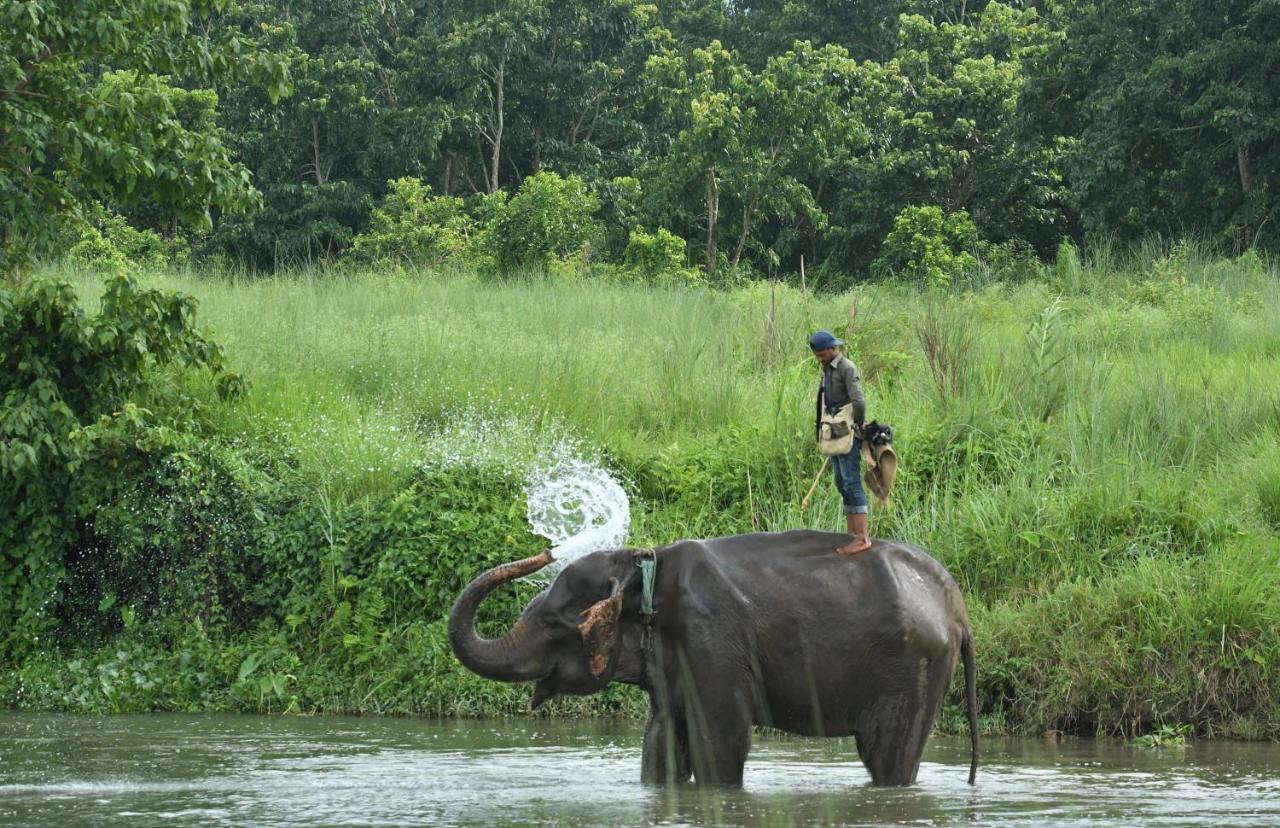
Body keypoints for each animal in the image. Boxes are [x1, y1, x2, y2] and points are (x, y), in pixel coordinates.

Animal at [450, 532, 977, 788]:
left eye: (554, 624)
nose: (546, 551)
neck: (643, 563)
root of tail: (956, 604)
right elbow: (661, 745)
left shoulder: (710, 640)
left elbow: (719, 746)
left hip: (913, 669)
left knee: (887, 757)